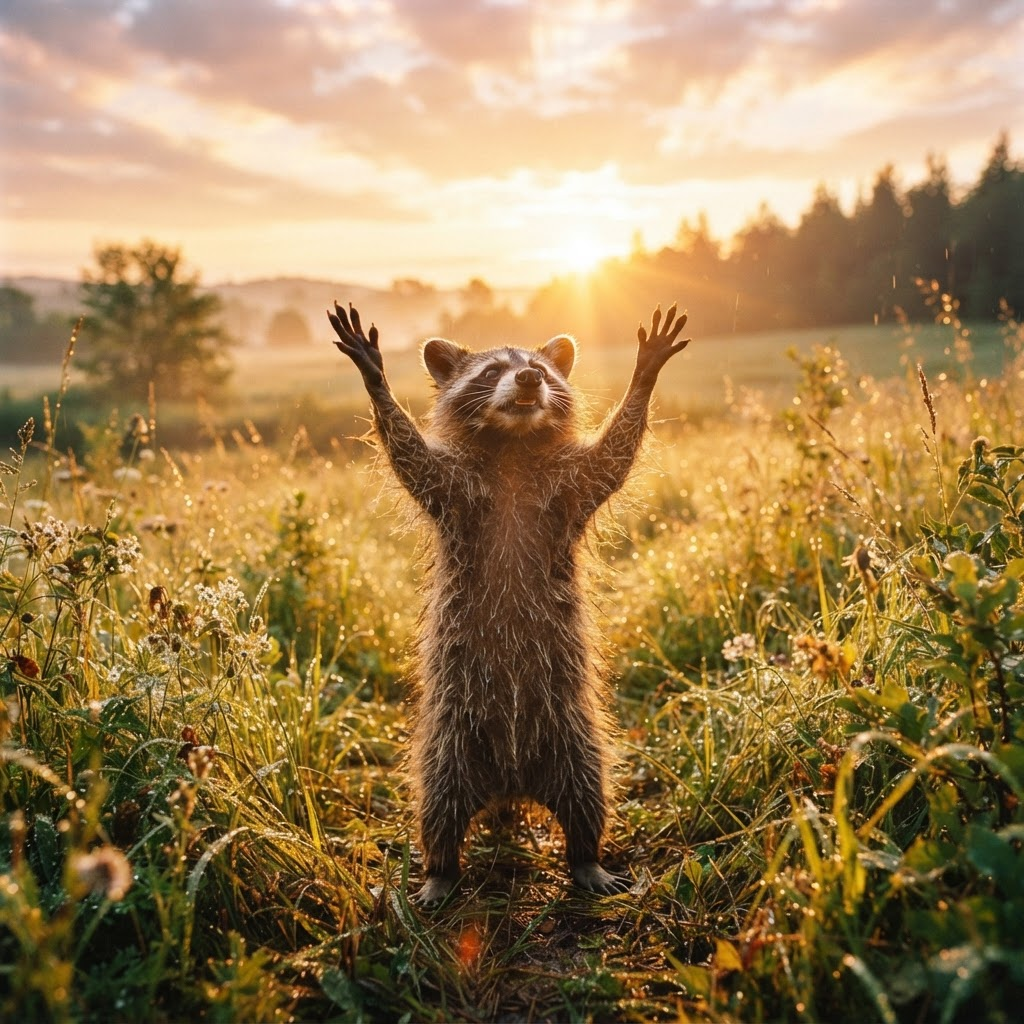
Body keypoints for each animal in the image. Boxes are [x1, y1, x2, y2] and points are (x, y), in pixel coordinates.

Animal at [328, 301, 690, 904]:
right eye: (494, 370)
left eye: (539, 369)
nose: (526, 379)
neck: (513, 449)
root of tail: (512, 782)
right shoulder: (455, 494)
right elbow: (410, 457)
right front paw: (376, 380)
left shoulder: (568, 492)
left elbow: (613, 457)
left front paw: (644, 377)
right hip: (451, 739)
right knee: (438, 803)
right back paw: (441, 868)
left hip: (574, 734)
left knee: (589, 791)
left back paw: (586, 856)